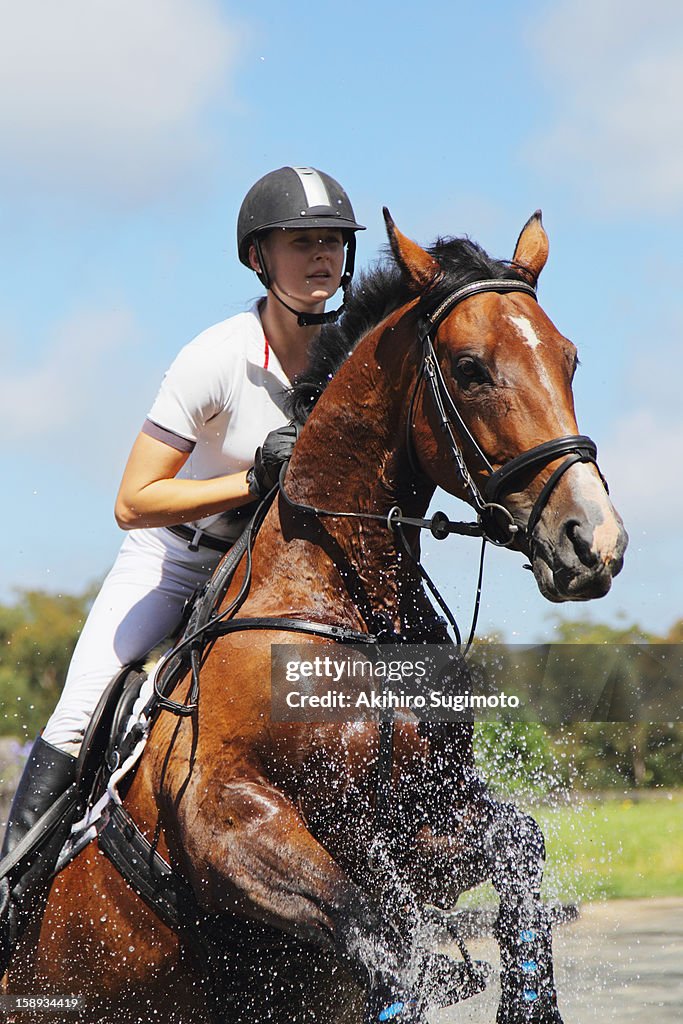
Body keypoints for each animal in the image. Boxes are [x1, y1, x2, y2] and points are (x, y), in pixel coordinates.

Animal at [7, 211, 626, 1019]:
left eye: (569, 360)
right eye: (469, 369)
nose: (593, 542)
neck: (349, 603)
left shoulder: (422, 824)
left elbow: (516, 848)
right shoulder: (221, 820)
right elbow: (383, 943)